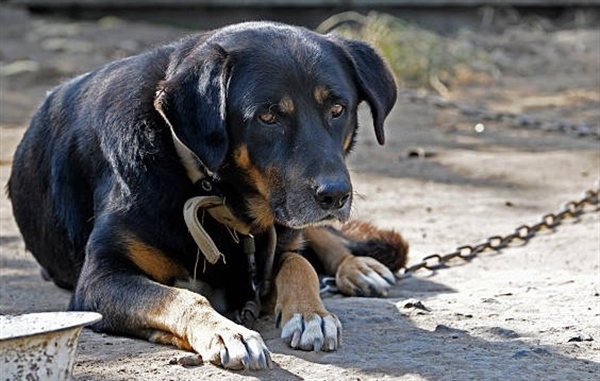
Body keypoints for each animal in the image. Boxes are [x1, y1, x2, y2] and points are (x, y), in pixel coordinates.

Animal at [7, 20, 408, 368]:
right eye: (267, 117)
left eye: (337, 109)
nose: (335, 196)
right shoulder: (100, 279)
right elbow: (183, 296)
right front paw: (227, 331)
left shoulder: (271, 248)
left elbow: (299, 263)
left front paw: (312, 314)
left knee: (319, 238)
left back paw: (358, 267)